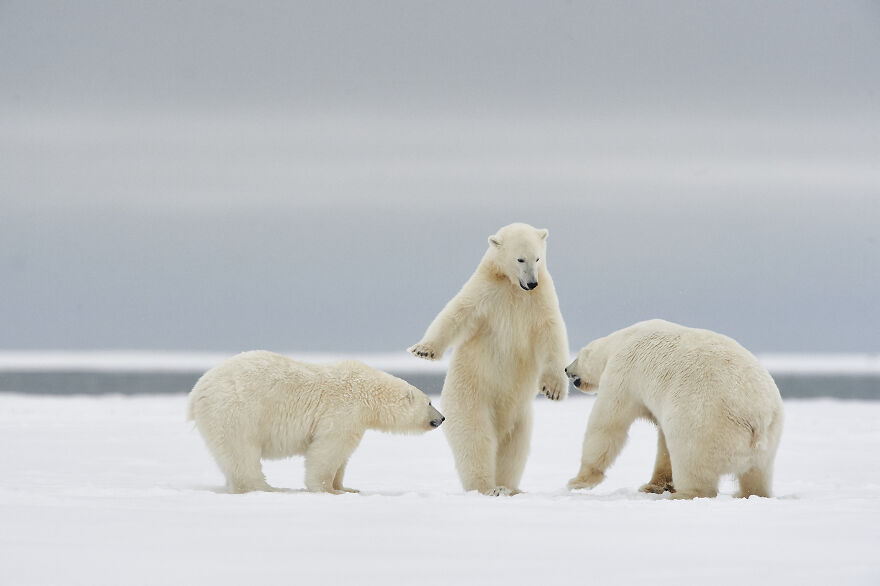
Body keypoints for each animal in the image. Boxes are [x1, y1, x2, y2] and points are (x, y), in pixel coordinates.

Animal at [188, 352, 444, 492]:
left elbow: (342, 458)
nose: (441, 418)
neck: (368, 391)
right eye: (430, 402)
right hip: (236, 411)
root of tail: (197, 391)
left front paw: (347, 487)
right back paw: (268, 487)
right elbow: (328, 450)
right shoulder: (344, 411)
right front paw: (329, 490)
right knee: (242, 453)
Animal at [408, 221, 568, 496]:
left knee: (514, 448)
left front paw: (554, 389)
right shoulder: (486, 292)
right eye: (520, 258)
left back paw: (509, 487)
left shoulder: (541, 300)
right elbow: (457, 313)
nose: (532, 283)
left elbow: (552, 334)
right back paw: (488, 487)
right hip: (471, 397)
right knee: (476, 439)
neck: (513, 287)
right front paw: (424, 350)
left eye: (538, 258)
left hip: (521, 416)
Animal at [568, 320, 788, 498]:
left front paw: (578, 481)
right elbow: (663, 442)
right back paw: (747, 493)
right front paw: (654, 486)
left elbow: (607, 423)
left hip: (704, 423)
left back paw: (683, 494)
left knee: (691, 462)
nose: (566, 369)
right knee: (757, 474)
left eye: (577, 356)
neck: (624, 338)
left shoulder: (622, 373)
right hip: (769, 440)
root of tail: (757, 418)